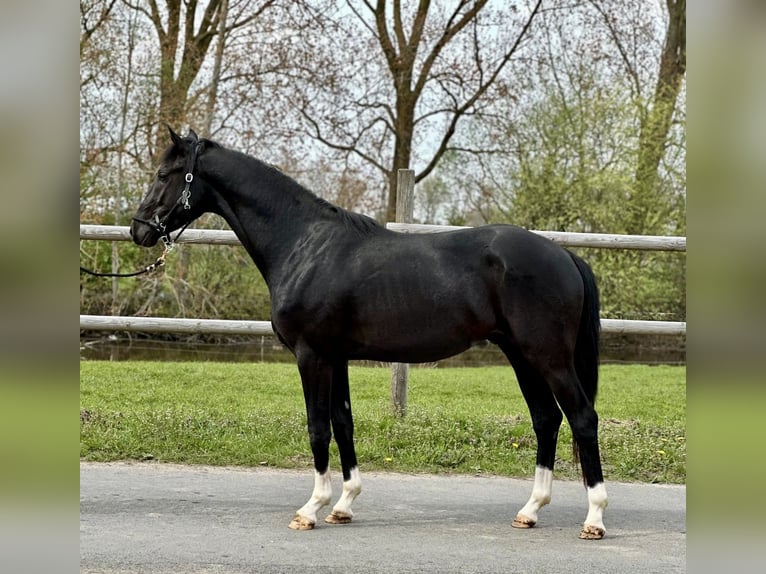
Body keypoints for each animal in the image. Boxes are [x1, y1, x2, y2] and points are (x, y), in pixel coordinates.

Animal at [130, 128, 608, 539]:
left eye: (164, 174)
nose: (139, 229)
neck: (305, 244)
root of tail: (564, 255)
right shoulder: (336, 356)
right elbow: (344, 423)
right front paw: (343, 505)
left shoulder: (311, 355)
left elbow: (317, 427)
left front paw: (311, 509)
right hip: (520, 354)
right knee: (546, 420)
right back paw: (530, 510)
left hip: (548, 356)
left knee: (582, 419)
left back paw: (594, 519)